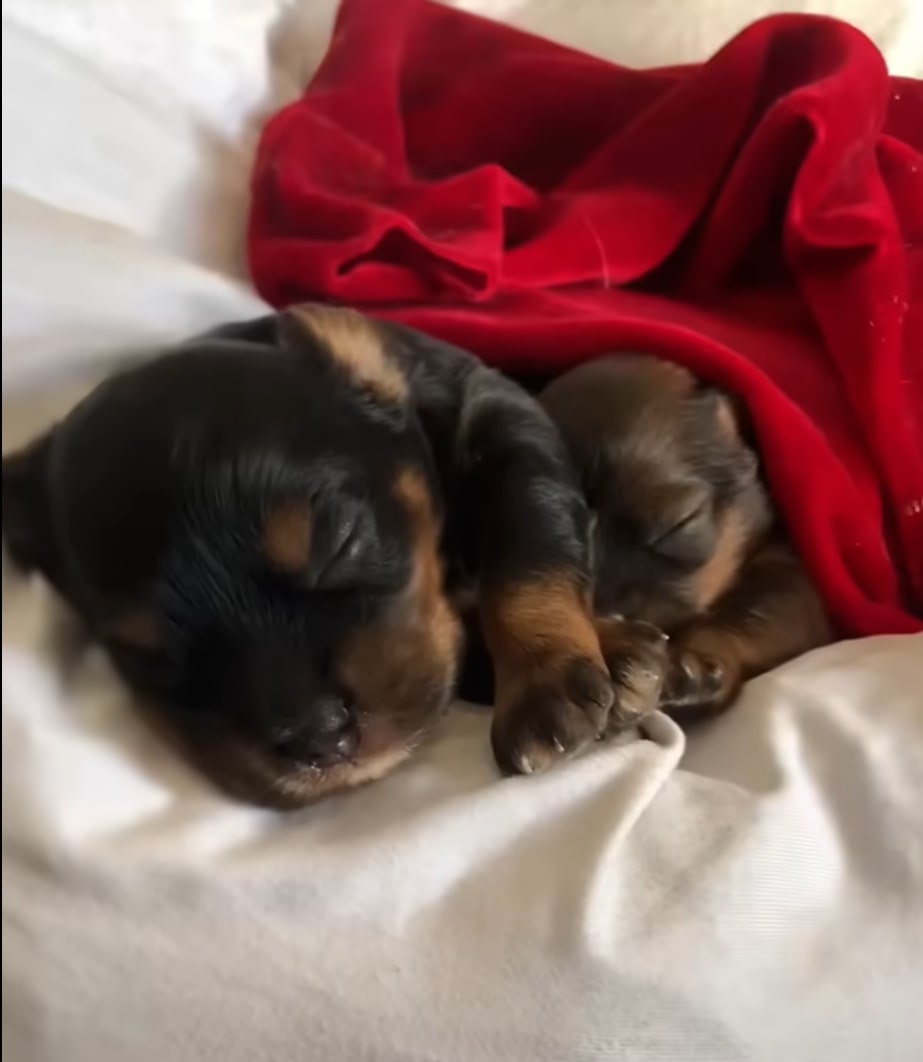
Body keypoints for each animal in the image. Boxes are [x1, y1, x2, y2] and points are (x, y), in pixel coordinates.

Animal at [0, 305, 662, 802]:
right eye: (151, 658)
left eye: (338, 541)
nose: (319, 740)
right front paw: (621, 654)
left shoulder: (499, 415)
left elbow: (530, 540)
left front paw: (544, 679)